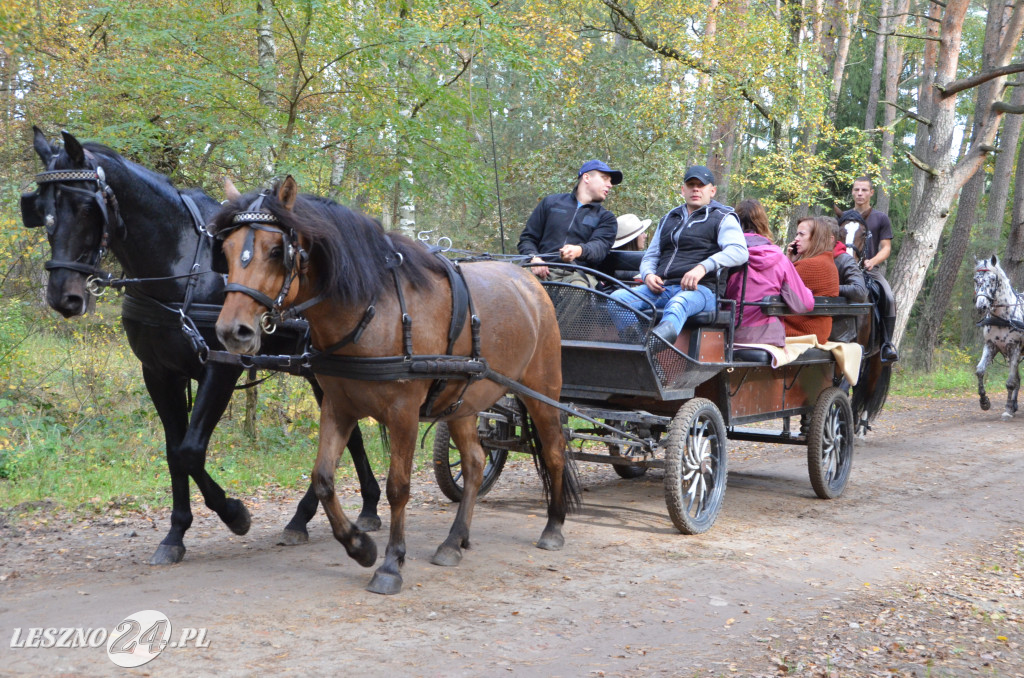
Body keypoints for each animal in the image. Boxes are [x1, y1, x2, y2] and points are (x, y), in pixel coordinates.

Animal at [20, 129, 385, 569]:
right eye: (40, 209)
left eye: (86, 206)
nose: (64, 297)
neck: (181, 267)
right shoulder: (160, 374)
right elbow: (173, 451)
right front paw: (175, 534)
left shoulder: (221, 367)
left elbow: (190, 451)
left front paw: (235, 514)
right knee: (353, 436)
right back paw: (344, 511)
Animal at [211, 178, 581, 598]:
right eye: (226, 249)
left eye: (276, 251)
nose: (232, 331)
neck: (373, 310)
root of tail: (531, 283)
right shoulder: (338, 406)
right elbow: (323, 480)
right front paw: (360, 547)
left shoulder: (403, 413)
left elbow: (398, 488)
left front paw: (390, 563)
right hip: (461, 403)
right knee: (474, 462)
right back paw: (454, 541)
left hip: (542, 391)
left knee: (553, 452)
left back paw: (553, 527)